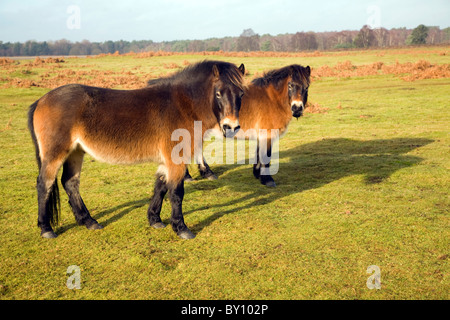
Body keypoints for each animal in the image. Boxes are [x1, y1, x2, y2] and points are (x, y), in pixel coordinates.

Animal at [27, 60, 246, 240]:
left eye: (241, 94)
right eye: (218, 93)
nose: (231, 127)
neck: (182, 105)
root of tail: (41, 100)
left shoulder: (167, 160)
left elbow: (160, 187)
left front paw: (155, 219)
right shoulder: (176, 159)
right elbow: (176, 193)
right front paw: (181, 228)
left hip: (75, 152)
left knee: (70, 183)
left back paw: (88, 221)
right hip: (55, 155)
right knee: (44, 184)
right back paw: (46, 229)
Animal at [181, 64, 312, 188]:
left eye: (306, 87)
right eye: (290, 85)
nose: (297, 108)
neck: (272, 99)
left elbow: (259, 155)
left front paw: (258, 174)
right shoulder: (267, 134)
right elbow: (266, 156)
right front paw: (268, 180)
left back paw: (207, 173)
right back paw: (189, 176)